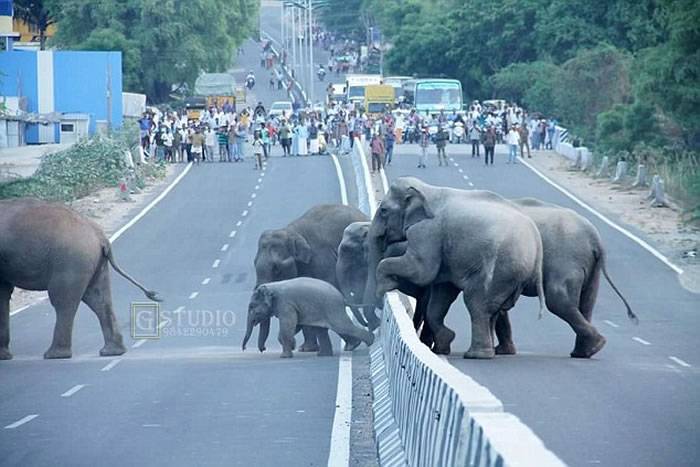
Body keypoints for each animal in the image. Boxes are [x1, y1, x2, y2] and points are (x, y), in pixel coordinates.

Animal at [0, 199, 160, 360]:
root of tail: (100, 235)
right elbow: (3, 293)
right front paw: (4, 356)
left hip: (71, 260)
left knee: (62, 301)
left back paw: (55, 355)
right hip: (93, 262)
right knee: (98, 299)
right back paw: (112, 352)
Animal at [242, 278, 374, 358]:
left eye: (251, 306)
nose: (262, 349)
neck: (271, 286)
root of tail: (343, 298)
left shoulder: (286, 304)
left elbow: (289, 324)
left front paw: (285, 356)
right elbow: (296, 324)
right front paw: (292, 346)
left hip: (332, 307)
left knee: (342, 326)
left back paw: (370, 342)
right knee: (322, 331)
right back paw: (325, 354)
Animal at [254, 203, 370, 352]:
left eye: (276, 269)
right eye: (254, 264)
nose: (263, 349)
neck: (291, 231)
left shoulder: (322, 259)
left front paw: (352, 344)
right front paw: (306, 349)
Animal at [366, 177, 548, 360]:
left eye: (383, 210)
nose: (380, 306)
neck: (428, 189)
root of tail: (537, 244)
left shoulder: (427, 232)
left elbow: (421, 271)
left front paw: (385, 286)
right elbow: (442, 291)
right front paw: (443, 346)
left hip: (500, 270)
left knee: (476, 303)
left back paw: (476, 355)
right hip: (511, 274)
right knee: (493, 310)